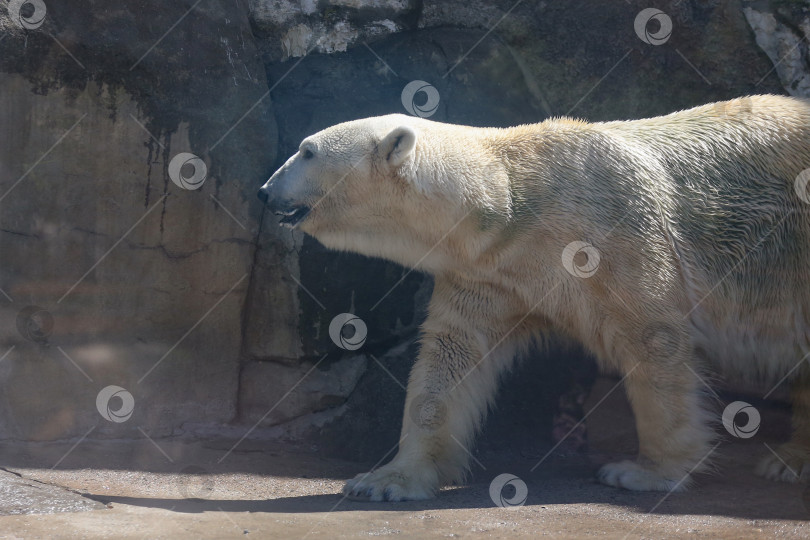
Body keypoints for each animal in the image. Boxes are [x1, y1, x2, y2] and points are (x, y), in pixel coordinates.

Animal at [257, 95, 810, 501]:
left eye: (306, 151)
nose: (264, 191)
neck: (510, 203)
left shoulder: (615, 236)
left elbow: (654, 338)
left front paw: (644, 472)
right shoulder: (488, 272)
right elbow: (449, 359)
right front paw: (386, 480)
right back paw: (789, 460)